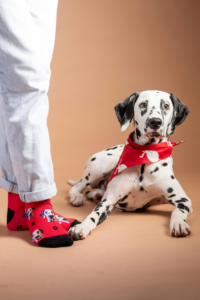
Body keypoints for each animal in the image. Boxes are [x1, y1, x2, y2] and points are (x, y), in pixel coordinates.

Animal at [68, 90, 192, 240]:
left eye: (166, 106)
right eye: (143, 104)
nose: (155, 122)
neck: (145, 155)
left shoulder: (183, 200)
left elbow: (178, 212)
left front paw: (179, 224)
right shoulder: (108, 201)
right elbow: (94, 215)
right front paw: (81, 227)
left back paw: (96, 194)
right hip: (101, 166)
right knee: (78, 186)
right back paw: (77, 197)